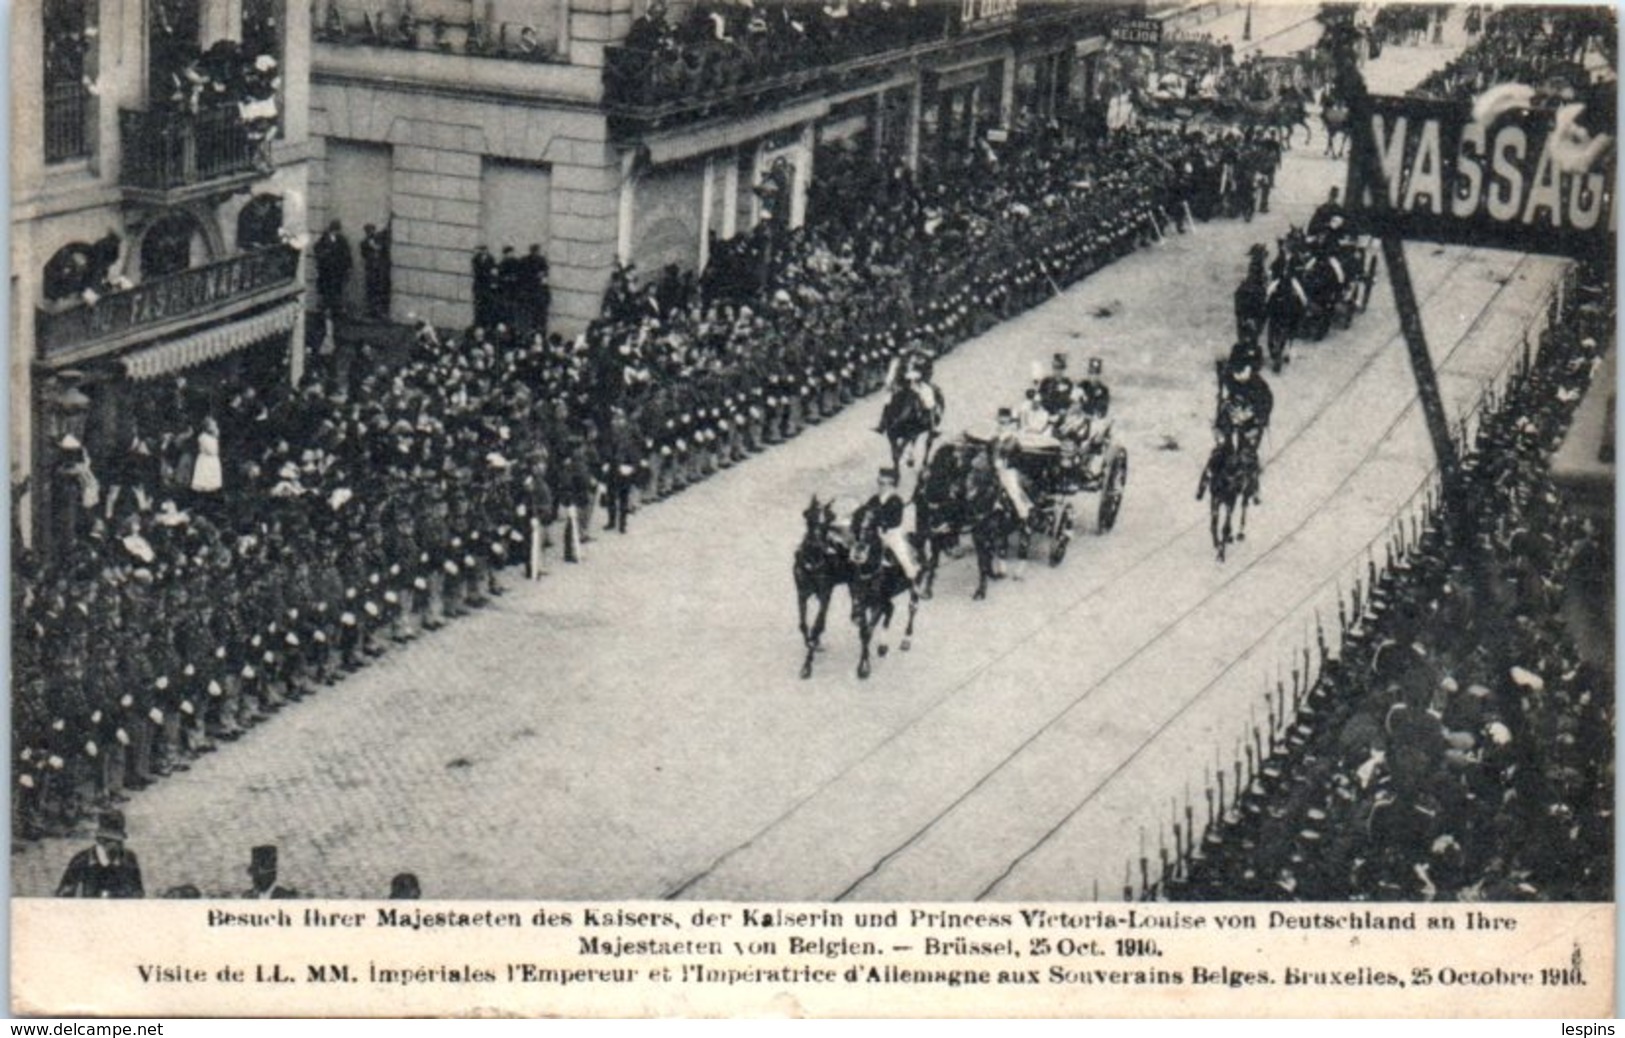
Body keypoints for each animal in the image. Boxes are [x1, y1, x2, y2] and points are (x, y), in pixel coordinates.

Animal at [793, 497, 858, 682]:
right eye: (808, 516)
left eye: (829, 518)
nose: (817, 544)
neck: (813, 562)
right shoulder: (801, 593)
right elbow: (803, 624)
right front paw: (812, 643)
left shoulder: (825, 594)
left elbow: (817, 625)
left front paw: (807, 665)